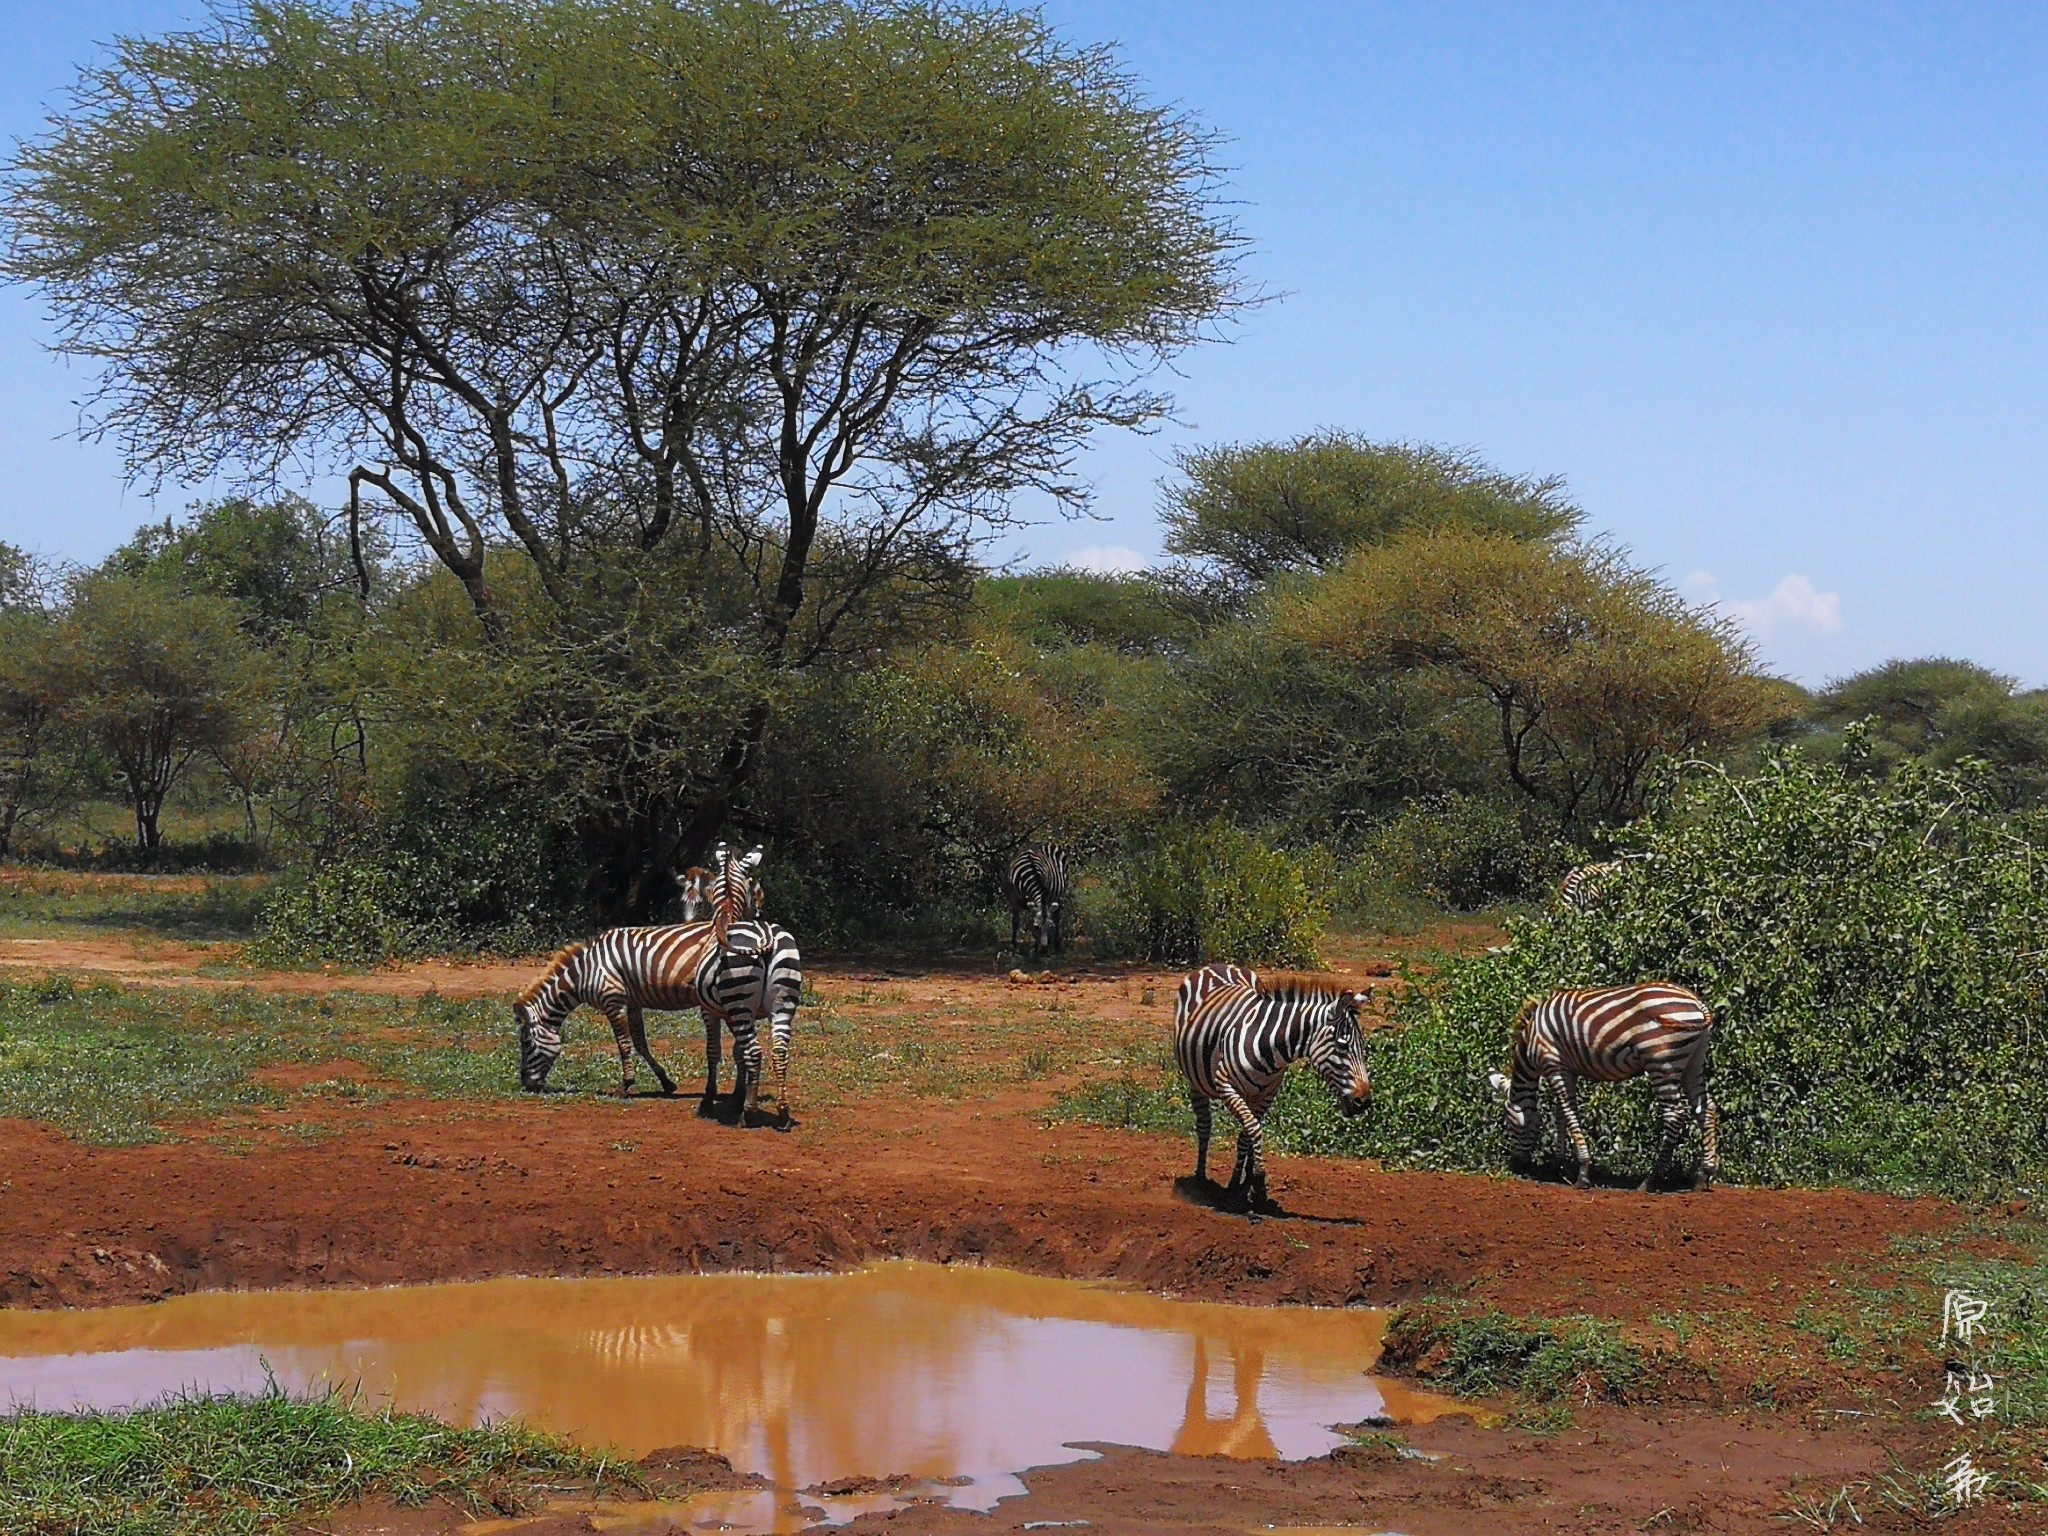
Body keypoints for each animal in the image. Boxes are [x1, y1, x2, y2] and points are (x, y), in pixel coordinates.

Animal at [1171, 974, 1376, 1212]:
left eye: (1363, 1046)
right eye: (1342, 1046)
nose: (1364, 1101)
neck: (1268, 1047)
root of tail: (1216, 968)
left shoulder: (1267, 1095)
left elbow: (1247, 1134)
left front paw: (1244, 1184)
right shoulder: (1226, 1086)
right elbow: (1253, 1130)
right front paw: (1255, 1184)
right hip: (1195, 1082)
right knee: (1204, 1126)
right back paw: (1200, 1179)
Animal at [1482, 991, 1720, 1196]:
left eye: (1509, 1124)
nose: (1516, 1166)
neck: (1531, 1040)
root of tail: (1696, 1003)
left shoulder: (1553, 1065)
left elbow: (1569, 1114)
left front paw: (1582, 1172)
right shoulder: (1566, 1070)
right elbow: (1561, 1116)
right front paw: (1557, 1165)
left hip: (1662, 1063)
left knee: (1674, 1116)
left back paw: (1651, 1180)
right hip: (1693, 1063)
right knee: (1705, 1108)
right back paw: (1704, 1175)